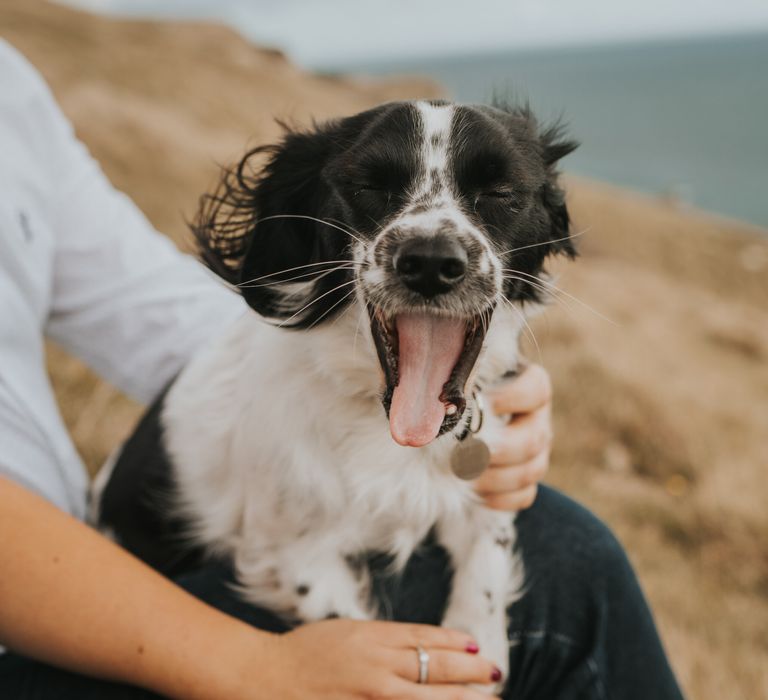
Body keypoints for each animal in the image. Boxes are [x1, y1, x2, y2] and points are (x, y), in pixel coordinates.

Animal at [94, 98, 576, 688]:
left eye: (500, 192)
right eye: (368, 185)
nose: (430, 262)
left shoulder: (485, 489)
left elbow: (486, 569)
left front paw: (478, 658)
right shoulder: (288, 554)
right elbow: (343, 624)